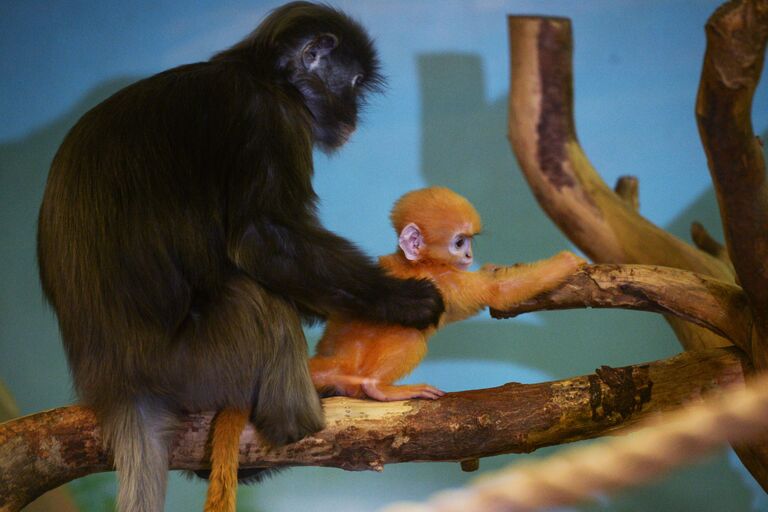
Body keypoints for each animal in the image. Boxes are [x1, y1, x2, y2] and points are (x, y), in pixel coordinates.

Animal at [37, 2, 444, 510]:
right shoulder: (267, 116)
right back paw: (299, 421)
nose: (352, 114)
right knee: (260, 299)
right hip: (198, 363)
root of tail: (118, 387)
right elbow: (260, 239)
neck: (260, 74)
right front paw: (408, 301)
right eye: (350, 84)